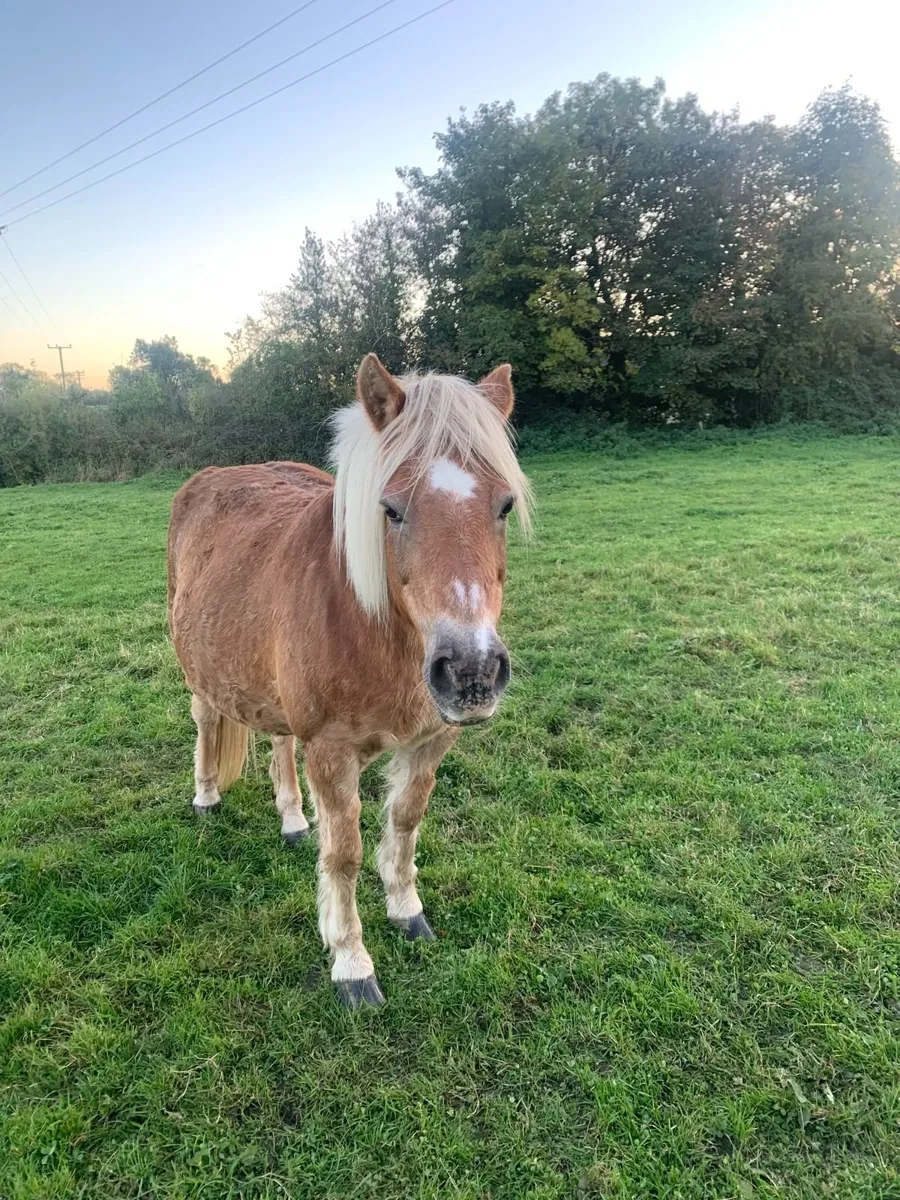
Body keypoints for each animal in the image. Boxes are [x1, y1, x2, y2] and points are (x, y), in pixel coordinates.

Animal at [166, 354, 532, 1008]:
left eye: (504, 506)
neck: (378, 633)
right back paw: (206, 797)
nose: (471, 673)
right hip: (200, 670)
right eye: (391, 509)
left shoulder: (431, 740)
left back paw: (292, 820)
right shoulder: (332, 752)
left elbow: (405, 823)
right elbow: (343, 856)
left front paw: (408, 913)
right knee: (207, 717)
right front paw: (351, 964)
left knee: (278, 739)